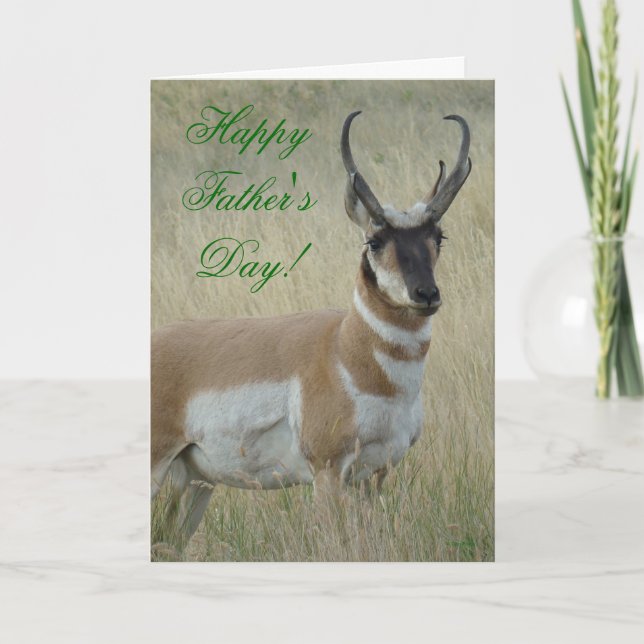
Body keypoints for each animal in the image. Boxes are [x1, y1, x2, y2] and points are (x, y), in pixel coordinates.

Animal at [151, 111, 471, 546]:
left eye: (438, 236)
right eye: (374, 240)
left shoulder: (375, 475)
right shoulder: (328, 472)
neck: (344, 349)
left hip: (195, 482)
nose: (426, 294)